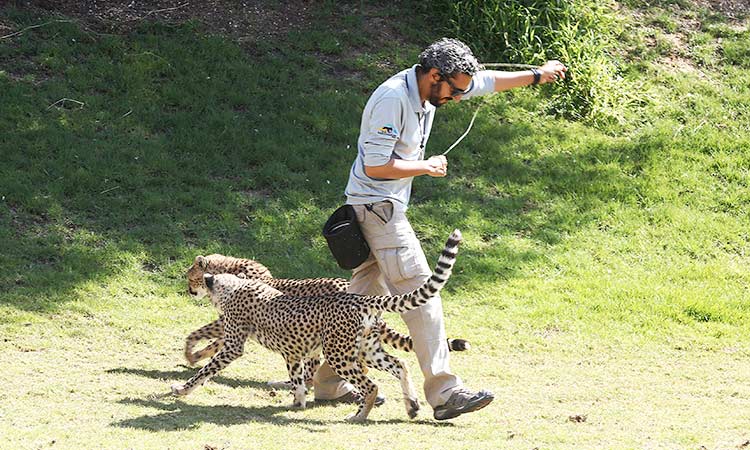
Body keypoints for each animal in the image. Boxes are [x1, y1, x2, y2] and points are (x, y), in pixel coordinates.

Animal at [173, 229, 464, 422]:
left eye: (190, 276)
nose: (189, 291)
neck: (231, 275)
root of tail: (359, 296)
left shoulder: (233, 338)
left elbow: (205, 353)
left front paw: (185, 378)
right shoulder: (290, 350)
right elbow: (297, 378)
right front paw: (297, 401)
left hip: (337, 353)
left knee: (369, 383)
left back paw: (359, 415)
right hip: (364, 348)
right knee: (399, 364)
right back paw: (411, 405)